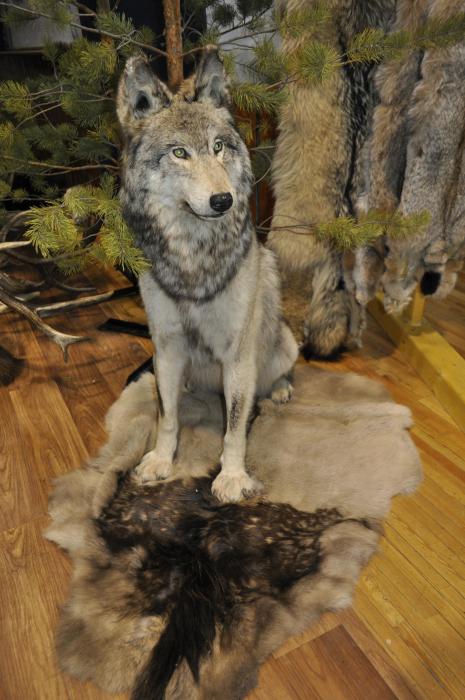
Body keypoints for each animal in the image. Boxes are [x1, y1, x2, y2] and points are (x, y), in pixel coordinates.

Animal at [116, 47, 298, 502]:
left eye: (218, 147)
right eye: (180, 153)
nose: (223, 200)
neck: (193, 260)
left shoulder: (236, 357)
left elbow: (234, 428)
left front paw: (232, 476)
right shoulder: (165, 348)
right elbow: (166, 417)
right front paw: (161, 461)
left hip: (282, 343)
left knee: (276, 375)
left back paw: (281, 389)